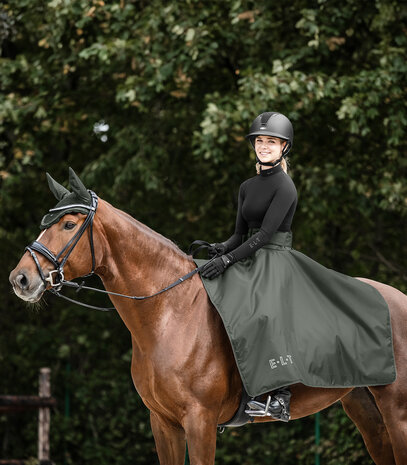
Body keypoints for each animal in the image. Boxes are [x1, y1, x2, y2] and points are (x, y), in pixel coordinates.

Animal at [8, 171, 407, 464]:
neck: (169, 314)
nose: (20, 279)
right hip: (366, 413)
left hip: (397, 413)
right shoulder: (164, 423)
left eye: (69, 225)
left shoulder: (199, 421)